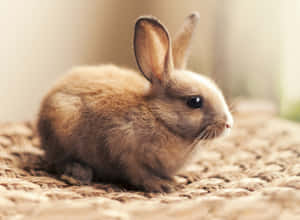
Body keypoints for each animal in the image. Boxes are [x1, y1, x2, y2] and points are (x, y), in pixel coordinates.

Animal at [37, 12, 233, 192]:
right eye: (195, 101)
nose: (228, 124)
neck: (160, 117)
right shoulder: (125, 151)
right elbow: (139, 174)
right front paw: (162, 186)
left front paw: (177, 179)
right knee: (59, 160)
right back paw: (78, 174)